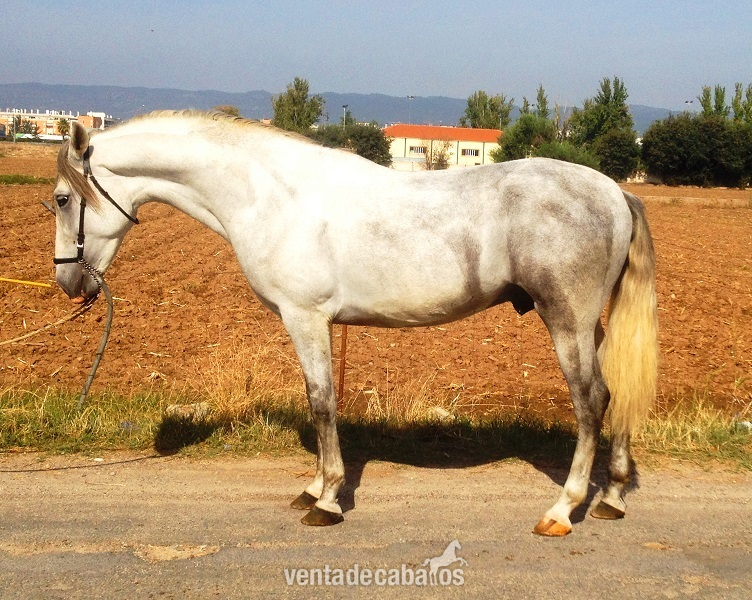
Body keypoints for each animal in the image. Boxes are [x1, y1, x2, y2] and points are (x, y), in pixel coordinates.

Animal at [51, 111, 658, 536]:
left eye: (60, 199)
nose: (69, 283)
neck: (272, 197)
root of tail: (616, 192)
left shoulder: (306, 318)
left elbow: (322, 402)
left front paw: (326, 501)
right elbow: (315, 400)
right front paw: (314, 487)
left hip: (566, 322)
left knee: (591, 401)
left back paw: (563, 509)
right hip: (590, 326)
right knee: (616, 392)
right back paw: (612, 498)